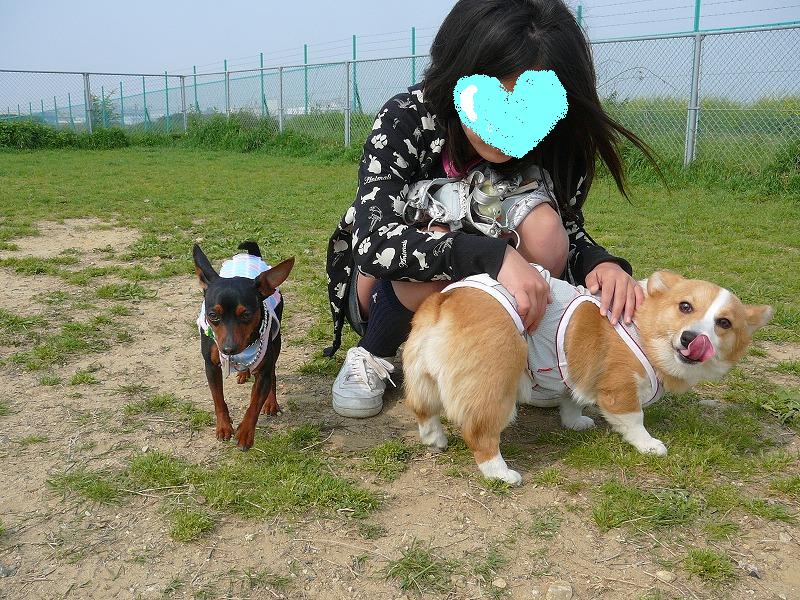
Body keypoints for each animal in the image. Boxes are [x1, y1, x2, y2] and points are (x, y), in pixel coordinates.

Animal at [193, 242, 294, 450]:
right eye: (213, 315)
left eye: (246, 314)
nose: (228, 349)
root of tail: (250, 256)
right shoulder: (211, 365)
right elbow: (218, 399)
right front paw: (224, 427)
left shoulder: (263, 371)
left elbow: (254, 404)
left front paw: (245, 434)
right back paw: (243, 373)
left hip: (275, 342)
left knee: (273, 373)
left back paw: (271, 402)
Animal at [403, 267, 772, 484]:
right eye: (685, 307)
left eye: (724, 323)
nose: (691, 338)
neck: (647, 329)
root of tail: (443, 302)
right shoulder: (620, 390)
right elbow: (634, 421)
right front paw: (649, 445)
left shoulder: (572, 373)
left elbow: (571, 401)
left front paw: (575, 422)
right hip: (495, 388)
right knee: (480, 435)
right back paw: (502, 474)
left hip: (423, 377)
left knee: (422, 408)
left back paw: (435, 439)